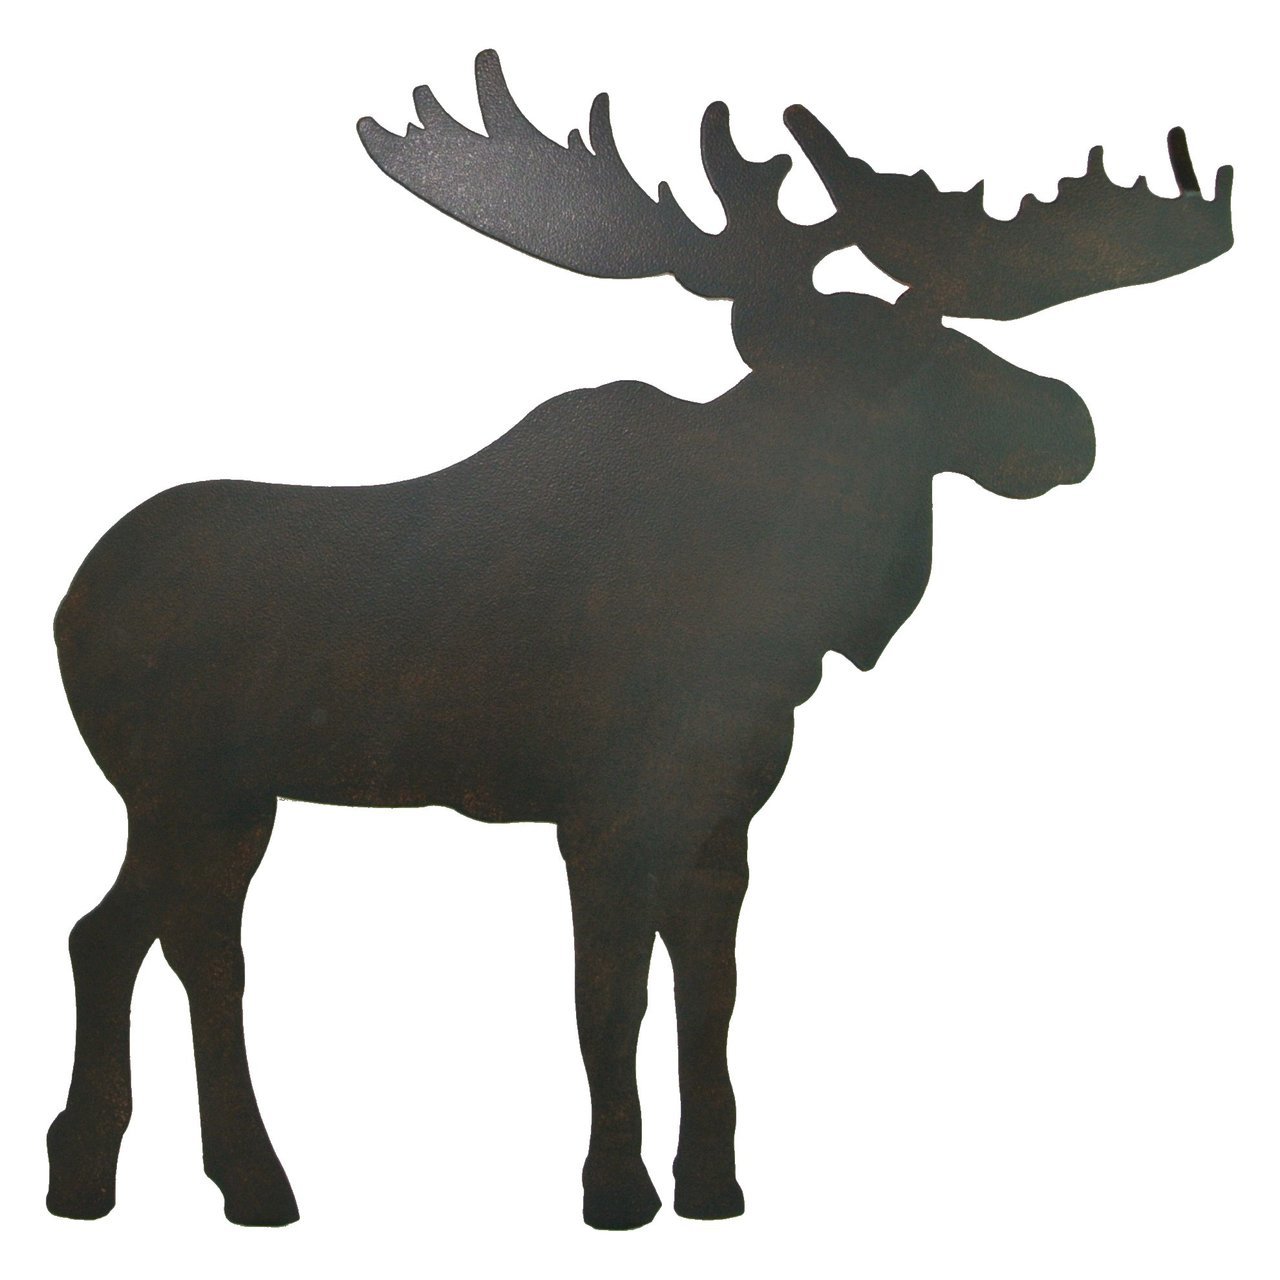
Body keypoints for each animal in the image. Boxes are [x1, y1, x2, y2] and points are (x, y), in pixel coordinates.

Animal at [46, 50, 1232, 1231]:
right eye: (917, 357)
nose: (1068, 419)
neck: (773, 609)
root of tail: (67, 604)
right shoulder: (599, 812)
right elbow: (606, 1000)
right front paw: (615, 1190)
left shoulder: (722, 820)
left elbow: (710, 999)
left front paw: (711, 1186)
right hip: (184, 786)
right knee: (156, 940)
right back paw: (199, 1173)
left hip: (224, 800)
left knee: (153, 940)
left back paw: (152, 1175)